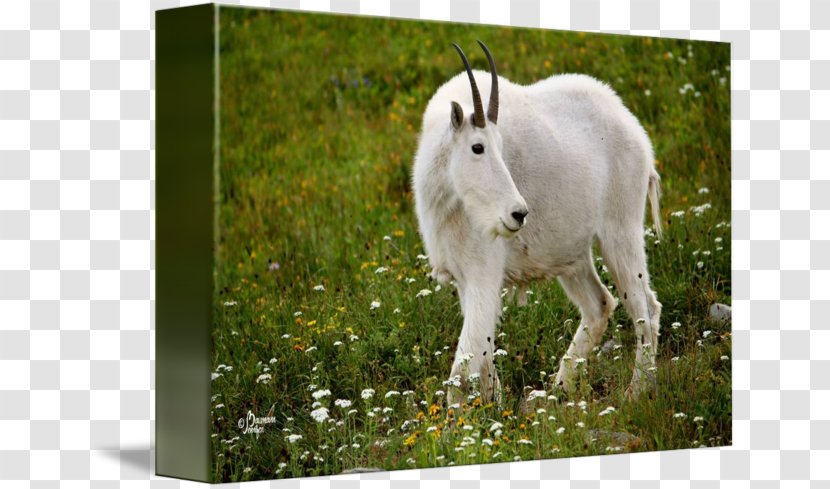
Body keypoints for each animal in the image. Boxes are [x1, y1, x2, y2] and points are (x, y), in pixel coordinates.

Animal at [414, 40, 664, 402]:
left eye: (501, 147)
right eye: (477, 147)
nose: (518, 213)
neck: (450, 200)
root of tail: (636, 131)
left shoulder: (483, 274)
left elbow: (462, 370)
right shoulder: (464, 280)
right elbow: (484, 355)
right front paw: (494, 406)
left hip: (621, 231)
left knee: (645, 308)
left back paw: (636, 392)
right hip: (573, 254)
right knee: (599, 304)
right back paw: (560, 388)